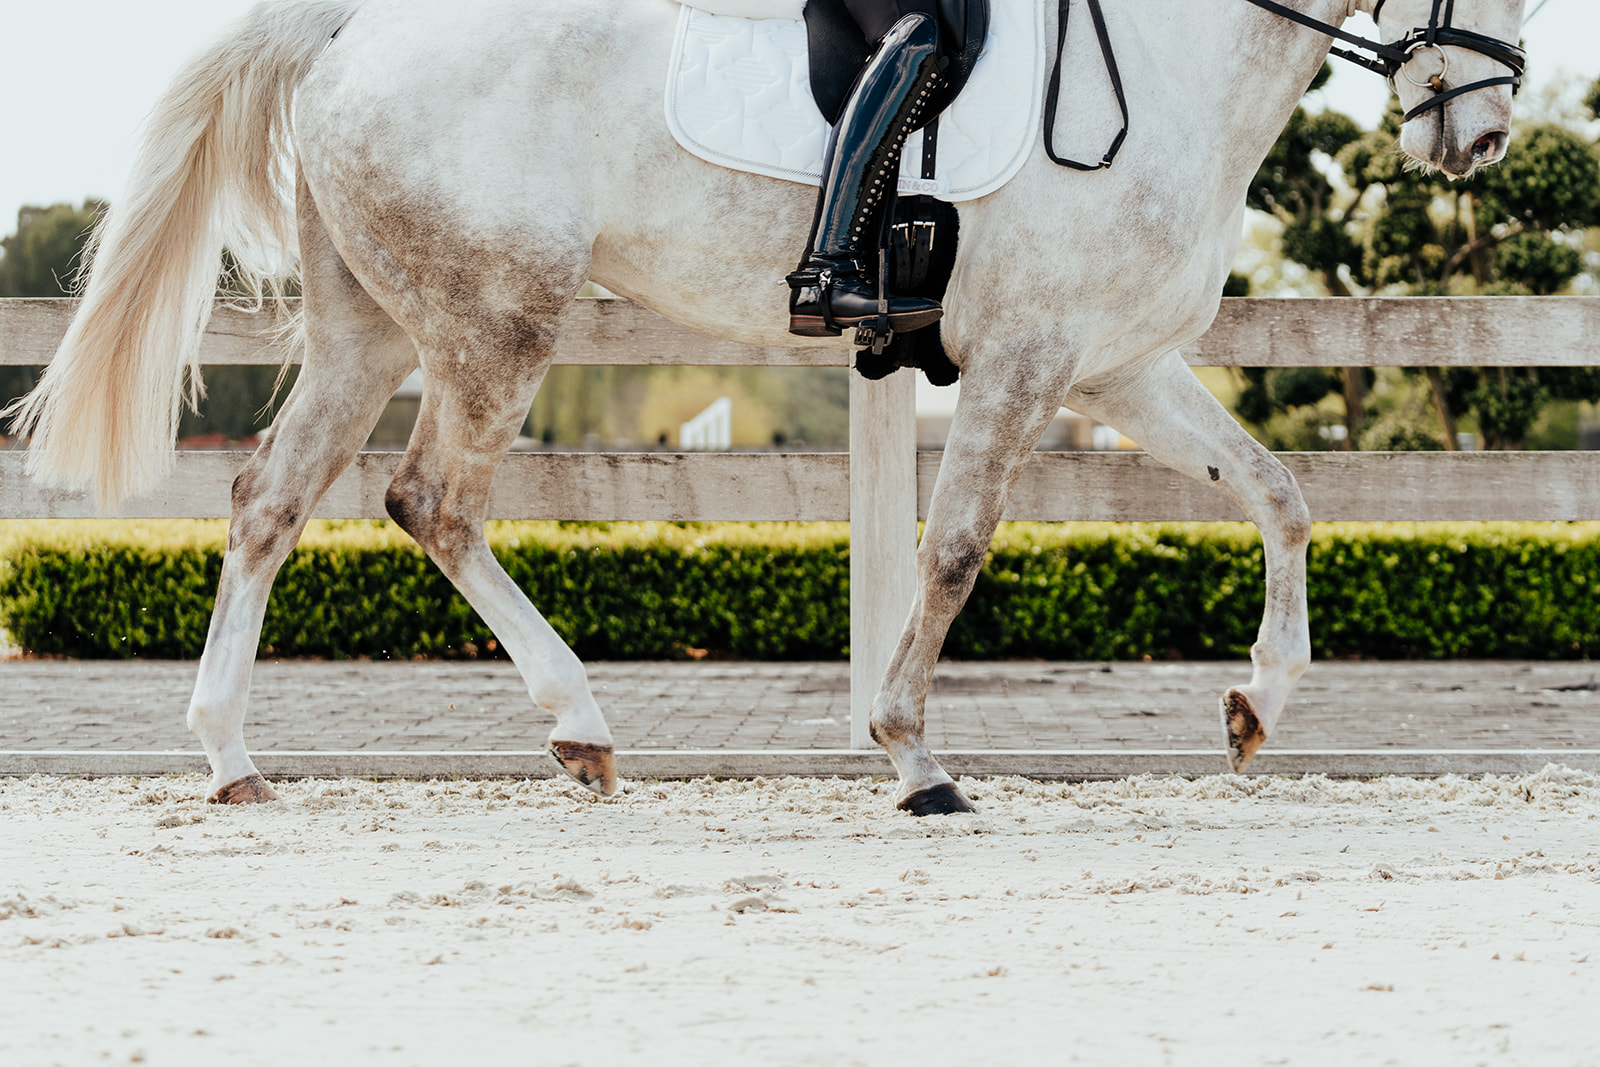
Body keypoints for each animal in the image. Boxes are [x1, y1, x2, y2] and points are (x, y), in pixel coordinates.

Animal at [7, 0, 1528, 811]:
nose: (1480, 134)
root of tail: (352, 27)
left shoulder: (1118, 368)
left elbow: (1282, 492)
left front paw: (1256, 702)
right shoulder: (1028, 360)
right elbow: (956, 550)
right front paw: (912, 754)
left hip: (371, 325)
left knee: (271, 499)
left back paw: (231, 758)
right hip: (495, 318)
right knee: (430, 499)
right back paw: (579, 722)